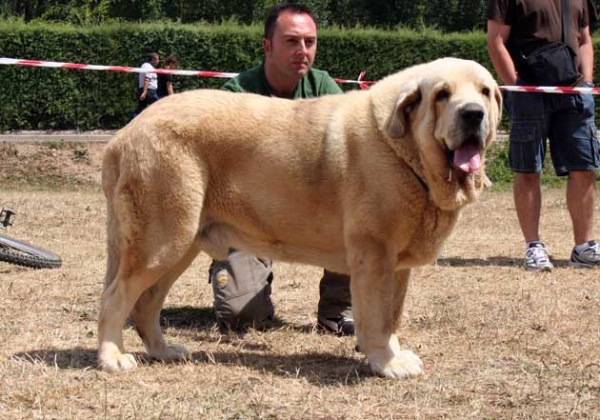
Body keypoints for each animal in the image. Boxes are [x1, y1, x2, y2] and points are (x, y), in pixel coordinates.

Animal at [98, 57, 502, 378]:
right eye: (442, 95)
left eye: (484, 92)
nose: (473, 114)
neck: (405, 151)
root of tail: (124, 135)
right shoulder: (374, 257)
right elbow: (376, 317)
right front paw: (386, 362)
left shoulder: (397, 266)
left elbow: (392, 316)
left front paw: (394, 353)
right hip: (161, 240)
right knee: (116, 297)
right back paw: (112, 356)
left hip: (179, 243)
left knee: (146, 303)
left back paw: (163, 351)